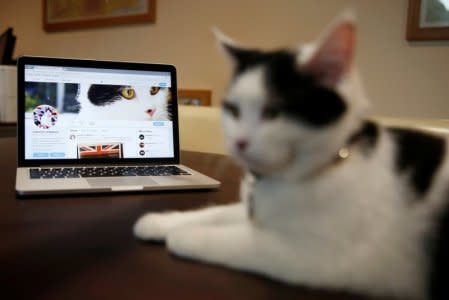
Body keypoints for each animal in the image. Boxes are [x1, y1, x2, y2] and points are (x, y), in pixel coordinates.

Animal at [132, 13, 448, 298]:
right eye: (233, 109)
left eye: (273, 112)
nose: (239, 142)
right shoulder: (252, 209)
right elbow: (212, 213)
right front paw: (159, 223)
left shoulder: (314, 255)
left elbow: (238, 241)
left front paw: (181, 236)